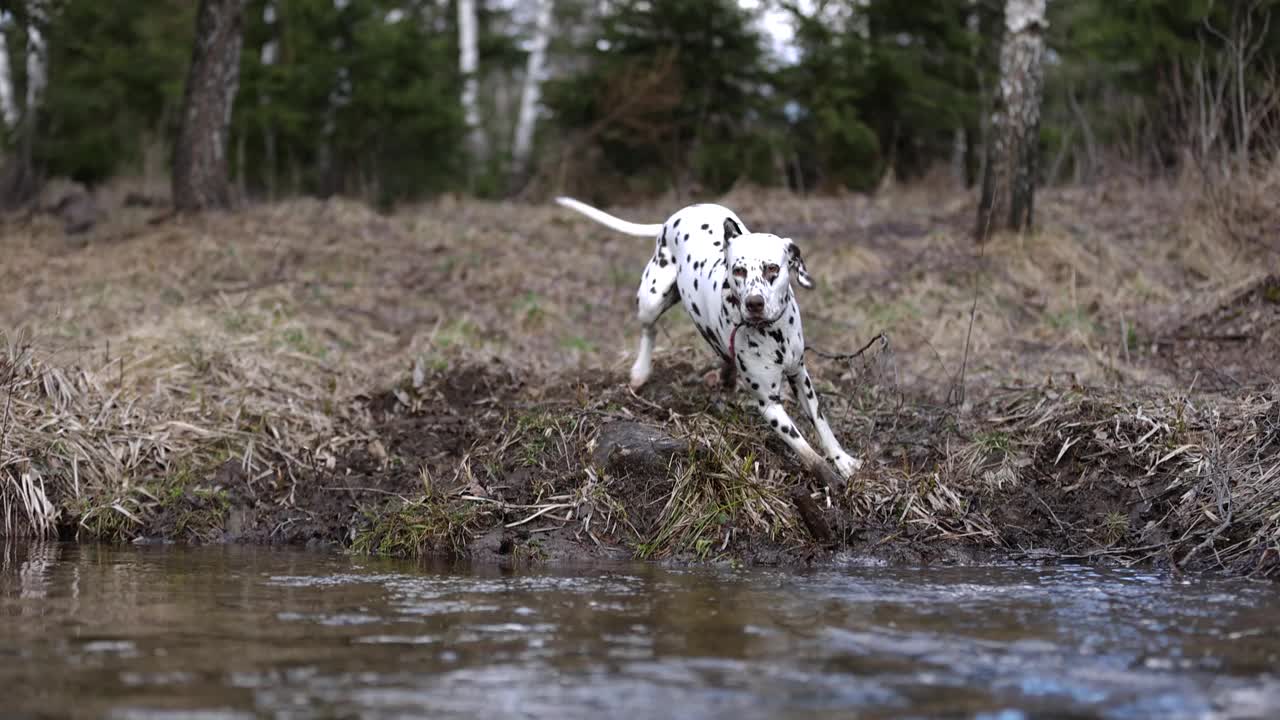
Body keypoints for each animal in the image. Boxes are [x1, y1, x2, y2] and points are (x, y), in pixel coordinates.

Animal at [552, 198, 860, 484]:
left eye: (772, 268)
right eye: (738, 271)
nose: (754, 303)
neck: (773, 333)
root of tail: (674, 217)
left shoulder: (800, 376)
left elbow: (822, 424)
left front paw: (842, 460)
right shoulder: (770, 406)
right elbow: (804, 449)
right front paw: (828, 476)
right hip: (651, 300)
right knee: (649, 331)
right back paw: (641, 371)